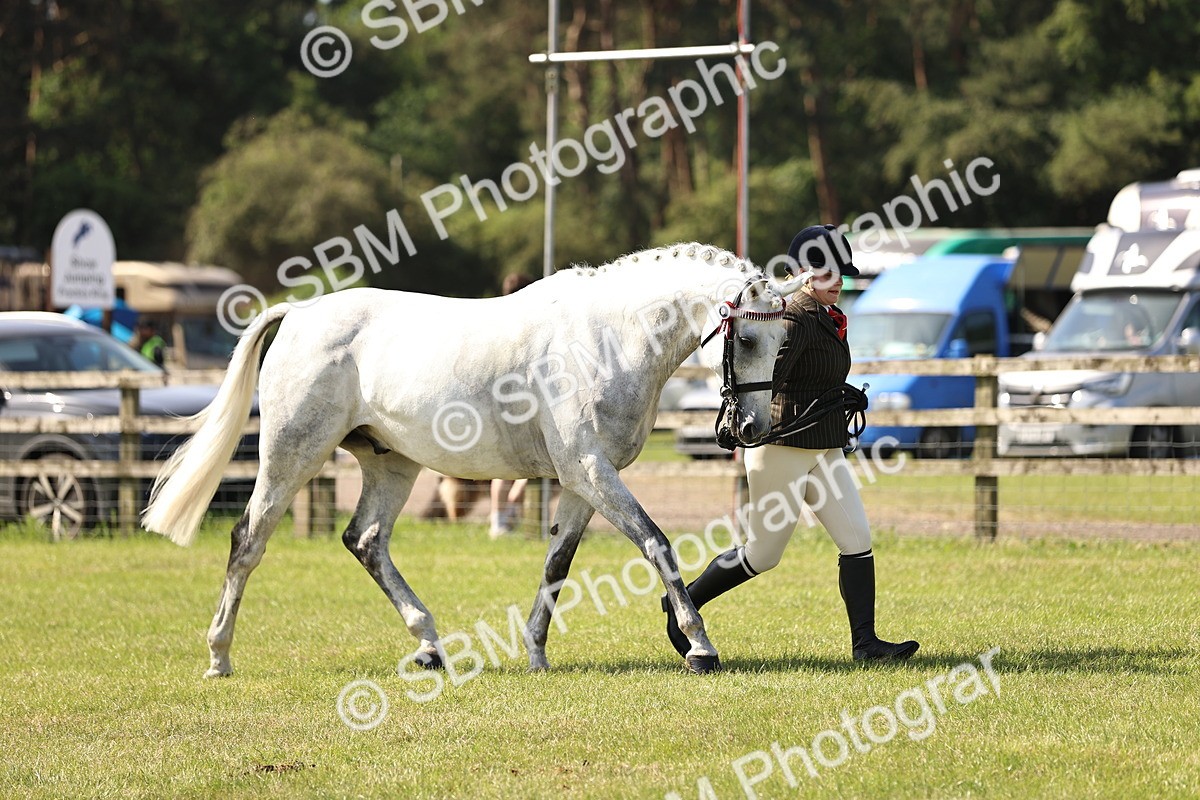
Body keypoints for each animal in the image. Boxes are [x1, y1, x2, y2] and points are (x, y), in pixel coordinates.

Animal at [143, 243, 801, 677]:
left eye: (782, 343)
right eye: (745, 339)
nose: (751, 428)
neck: (609, 337)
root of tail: (301, 314)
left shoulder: (580, 480)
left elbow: (557, 563)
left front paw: (535, 652)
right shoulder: (590, 469)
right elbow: (656, 542)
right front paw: (699, 647)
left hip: (391, 463)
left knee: (366, 540)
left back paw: (429, 645)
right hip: (292, 455)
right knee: (248, 541)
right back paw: (219, 657)